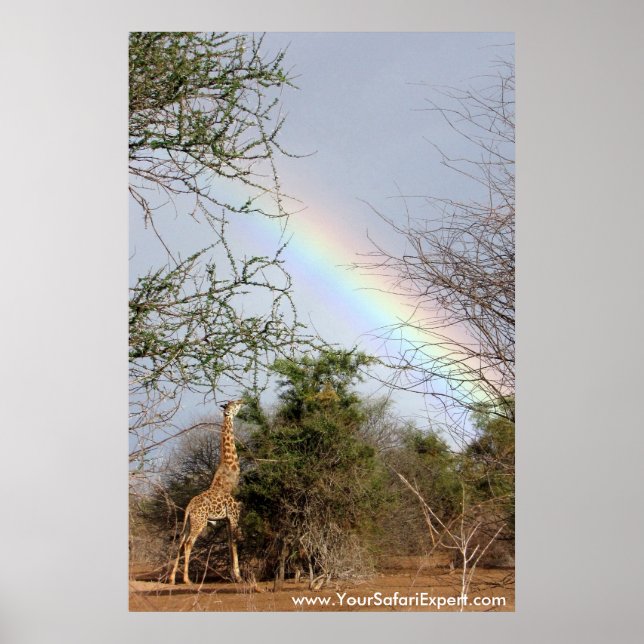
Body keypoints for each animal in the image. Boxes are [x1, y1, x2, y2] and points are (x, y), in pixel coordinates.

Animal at [169, 399, 245, 584]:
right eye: (234, 404)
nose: (243, 400)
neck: (231, 472)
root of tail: (189, 508)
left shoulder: (226, 518)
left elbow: (229, 542)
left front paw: (232, 575)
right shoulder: (234, 513)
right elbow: (234, 542)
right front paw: (238, 576)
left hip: (189, 522)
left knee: (180, 542)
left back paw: (172, 579)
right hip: (200, 521)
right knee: (188, 543)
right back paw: (187, 579)